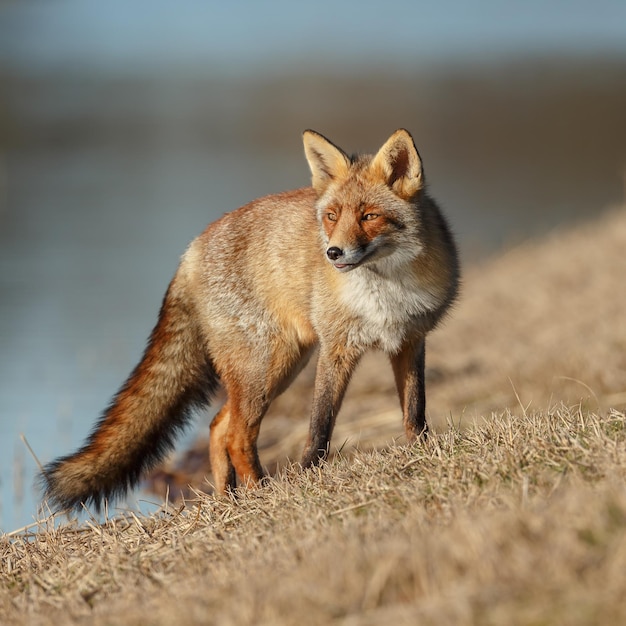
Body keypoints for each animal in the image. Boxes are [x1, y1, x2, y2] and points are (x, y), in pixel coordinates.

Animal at [40, 129, 458, 510]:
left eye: (370, 216)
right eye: (332, 216)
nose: (333, 253)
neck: (386, 289)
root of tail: (192, 249)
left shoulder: (409, 340)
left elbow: (415, 411)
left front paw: (422, 454)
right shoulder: (336, 349)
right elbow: (319, 426)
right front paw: (310, 476)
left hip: (278, 369)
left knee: (218, 427)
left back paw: (229, 498)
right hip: (265, 369)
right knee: (237, 436)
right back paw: (259, 493)